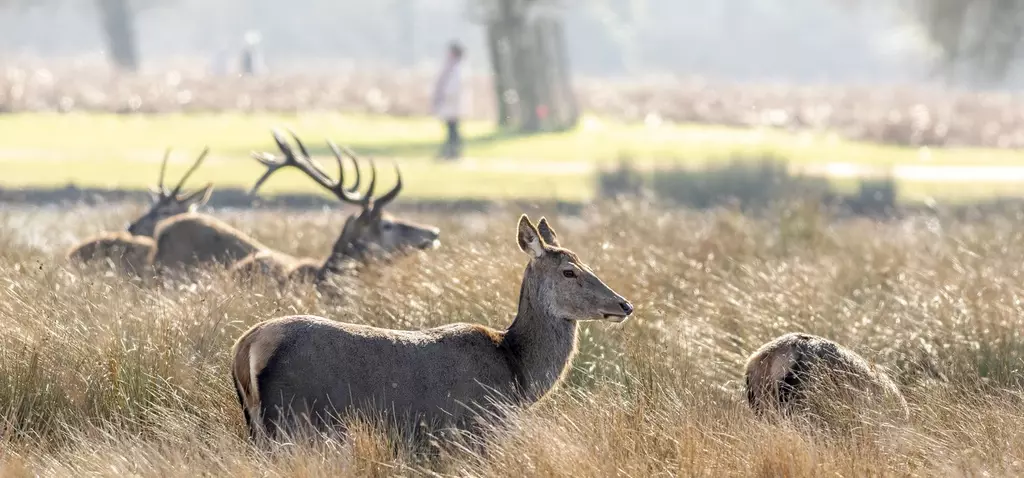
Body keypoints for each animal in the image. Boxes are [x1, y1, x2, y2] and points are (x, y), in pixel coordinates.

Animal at [230, 214, 630, 444]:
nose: (624, 304)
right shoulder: (474, 427)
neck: (516, 375)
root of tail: (245, 345)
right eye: (568, 271)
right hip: (289, 420)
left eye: (585, 262)